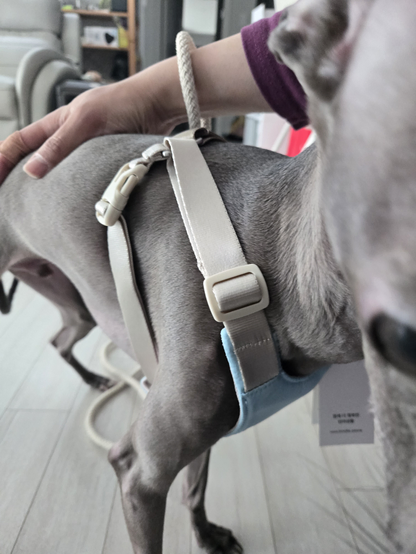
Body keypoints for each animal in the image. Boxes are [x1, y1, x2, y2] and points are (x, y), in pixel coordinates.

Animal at [0, 0, 414, 552]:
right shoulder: (138, 470)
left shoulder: (216, 424)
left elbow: (195, 483)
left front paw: (205, 533)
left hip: (74, 301)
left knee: (60, 338)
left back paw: (93, 377)